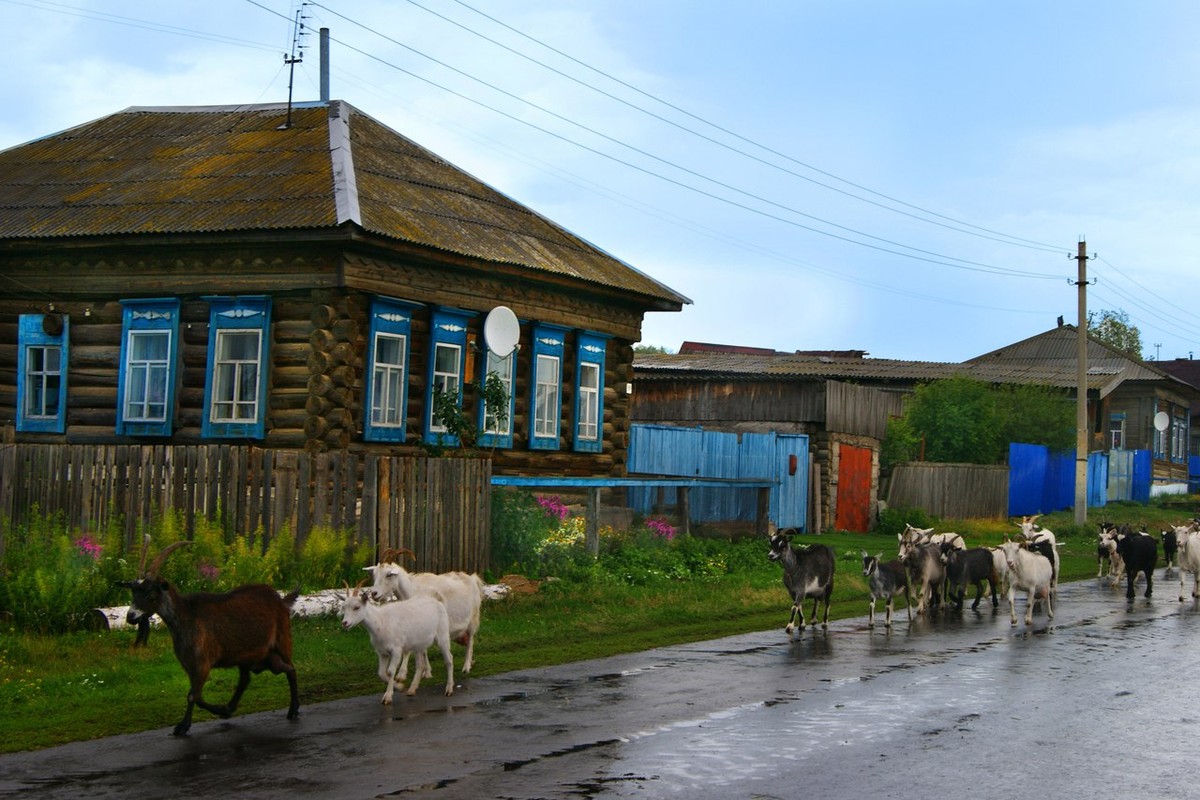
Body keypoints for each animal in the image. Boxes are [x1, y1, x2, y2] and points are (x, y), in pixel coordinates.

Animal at [120, 542, 300, 734]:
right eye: (133, 592)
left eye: (151, 594)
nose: (131, 616)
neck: (186, 616)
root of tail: (281, 600)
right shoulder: (189, 665)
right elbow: (196, 695)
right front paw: (221, 710)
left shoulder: (203, 662)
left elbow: (192, 695)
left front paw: (183, 726)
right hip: (249, 656)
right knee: (247, 679)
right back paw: (230, 708)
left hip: (283, 641)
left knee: (291, 669)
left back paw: (293, 709)